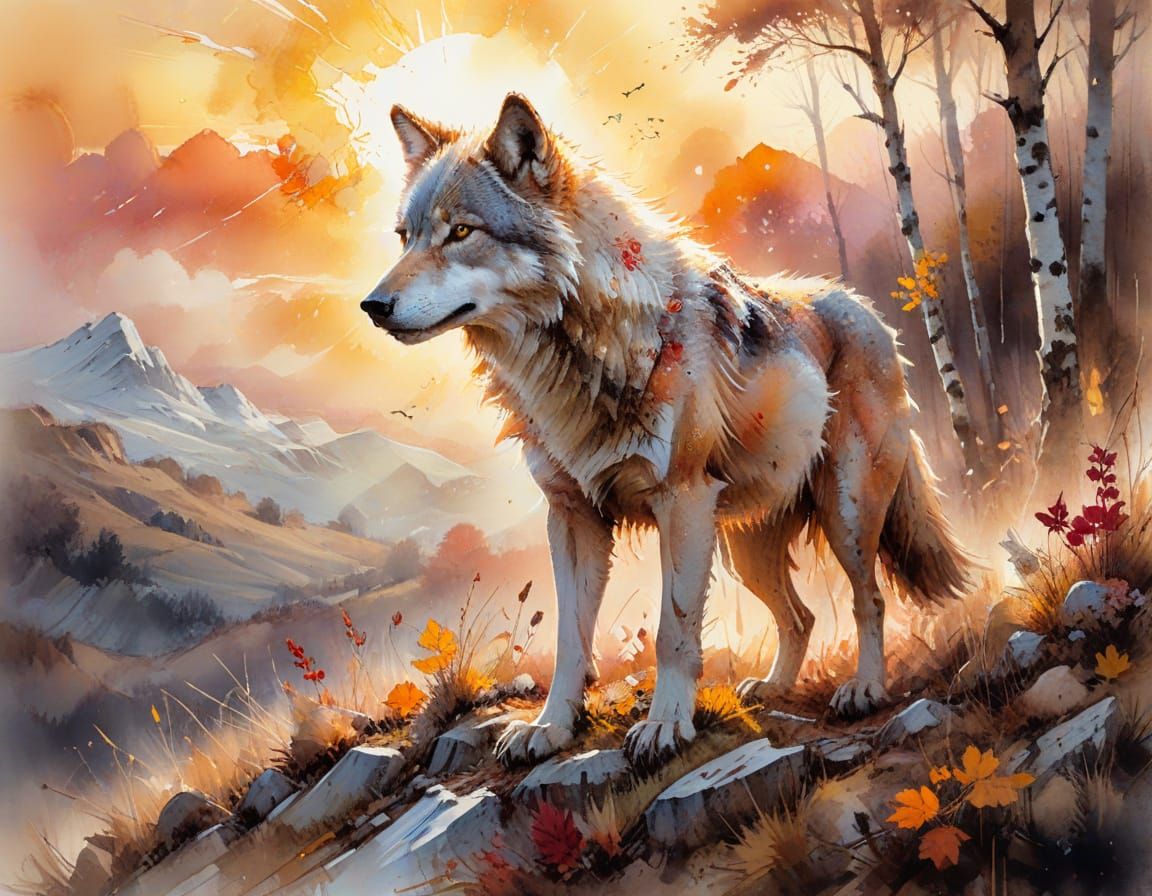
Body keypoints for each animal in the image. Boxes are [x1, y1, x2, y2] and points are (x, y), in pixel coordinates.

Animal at [361, 94, 971, 766]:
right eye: (405, 237)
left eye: (462, 232)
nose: (373, 306)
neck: (584, 355)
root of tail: (871, 313)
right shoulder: (571, 517)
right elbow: (572, 639)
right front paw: (550, 728)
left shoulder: (681, 502)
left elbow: (673, 630)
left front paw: (666, 726)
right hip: (743, 546)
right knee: (802, 617)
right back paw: (773, 687)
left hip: (845, 514)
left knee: (871, 598)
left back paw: (864, 688)